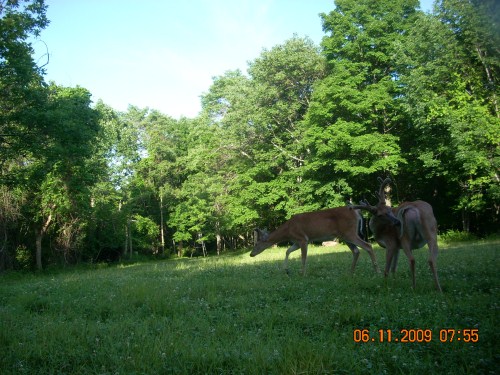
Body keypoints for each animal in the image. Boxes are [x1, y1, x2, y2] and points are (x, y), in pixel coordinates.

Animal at [248, 206, 380, 276]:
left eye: (257, 244)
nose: (251, 254)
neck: (288, 230)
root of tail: (356, 212)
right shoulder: (296, 241)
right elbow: (287, 251)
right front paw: (286, 269)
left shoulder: (303, 239)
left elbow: (303, 257)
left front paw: (302, 273)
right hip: (345, 236)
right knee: (356, 251)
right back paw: (350, 272)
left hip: (349, 232)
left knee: (368, 245)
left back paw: (376, 270)